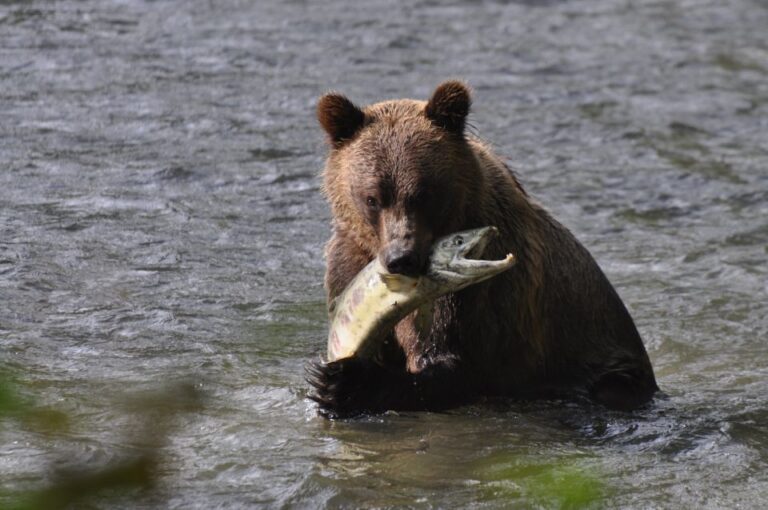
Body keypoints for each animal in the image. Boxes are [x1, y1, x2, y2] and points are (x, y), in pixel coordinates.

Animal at [308, 80, 656, 418]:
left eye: (423, 194)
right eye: (372, 198)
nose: (401, 258)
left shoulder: (481, 295)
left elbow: (453, 363)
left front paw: (342, 382)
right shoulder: (350, 262)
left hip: (607, 362)